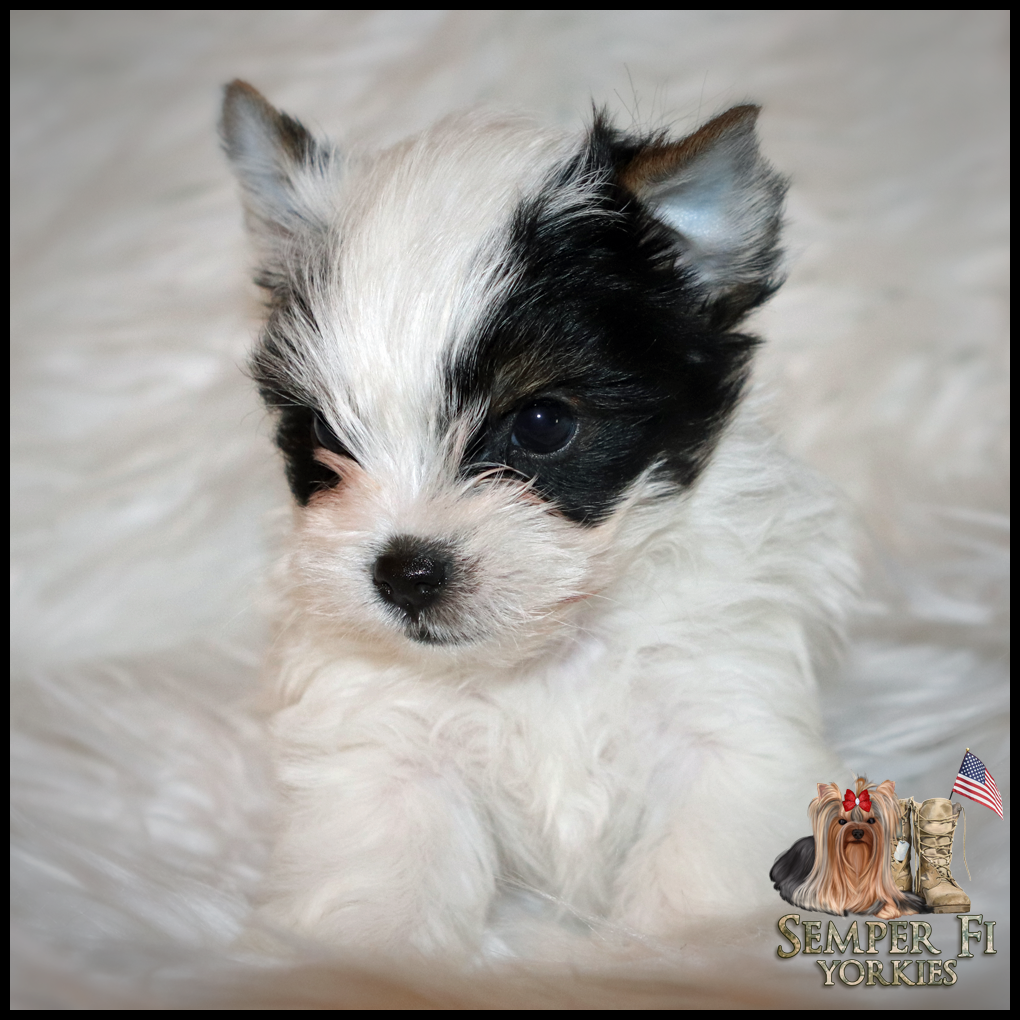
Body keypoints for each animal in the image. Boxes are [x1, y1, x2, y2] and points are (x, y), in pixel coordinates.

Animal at [220, 80, 855, 954]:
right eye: (321, 432)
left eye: (543, 424)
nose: (404, 572)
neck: (547, 656)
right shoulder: (385, 752)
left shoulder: (728, 724)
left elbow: (700, 887)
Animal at [770, 779, 924, 918]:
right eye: (842, 821)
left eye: (871, 820)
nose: (857, 832)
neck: (855, 858)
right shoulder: (805, 892)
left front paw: (891, 908)